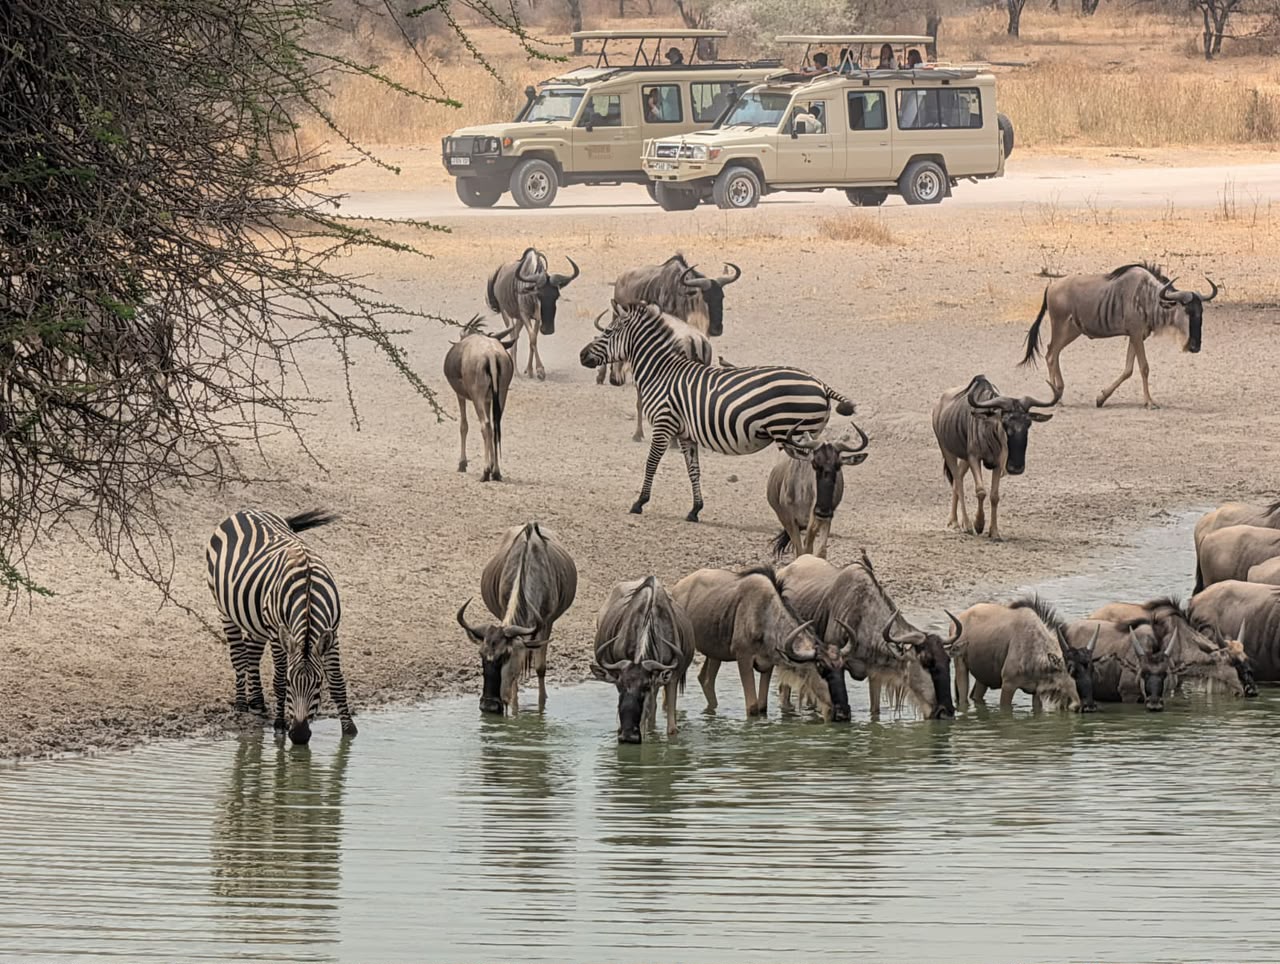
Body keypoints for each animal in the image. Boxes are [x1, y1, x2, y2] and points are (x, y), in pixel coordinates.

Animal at [206, 508, 356, 744]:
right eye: (289, 683)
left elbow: (338, 683)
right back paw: (241, 704)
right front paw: (279, 725)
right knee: (239, 655)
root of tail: (246, 510)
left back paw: (257, 702)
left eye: (318, 684)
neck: (308, 591)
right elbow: (277, 680)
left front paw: (349, 730)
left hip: (256, 619)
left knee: (252, 654)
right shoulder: (279, 635)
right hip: (225, 609)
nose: (300, 736)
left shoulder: (332, 633)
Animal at [579, 302, 861, 522]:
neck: (661, 372)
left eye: (608, 332)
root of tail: (820, 383)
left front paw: (639, 502)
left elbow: (651, 464)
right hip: (807, 436)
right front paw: (695, 509)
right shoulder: (685, 433)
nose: (581, 356)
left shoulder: (663, 423)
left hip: (796, 434)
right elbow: (693, 469)